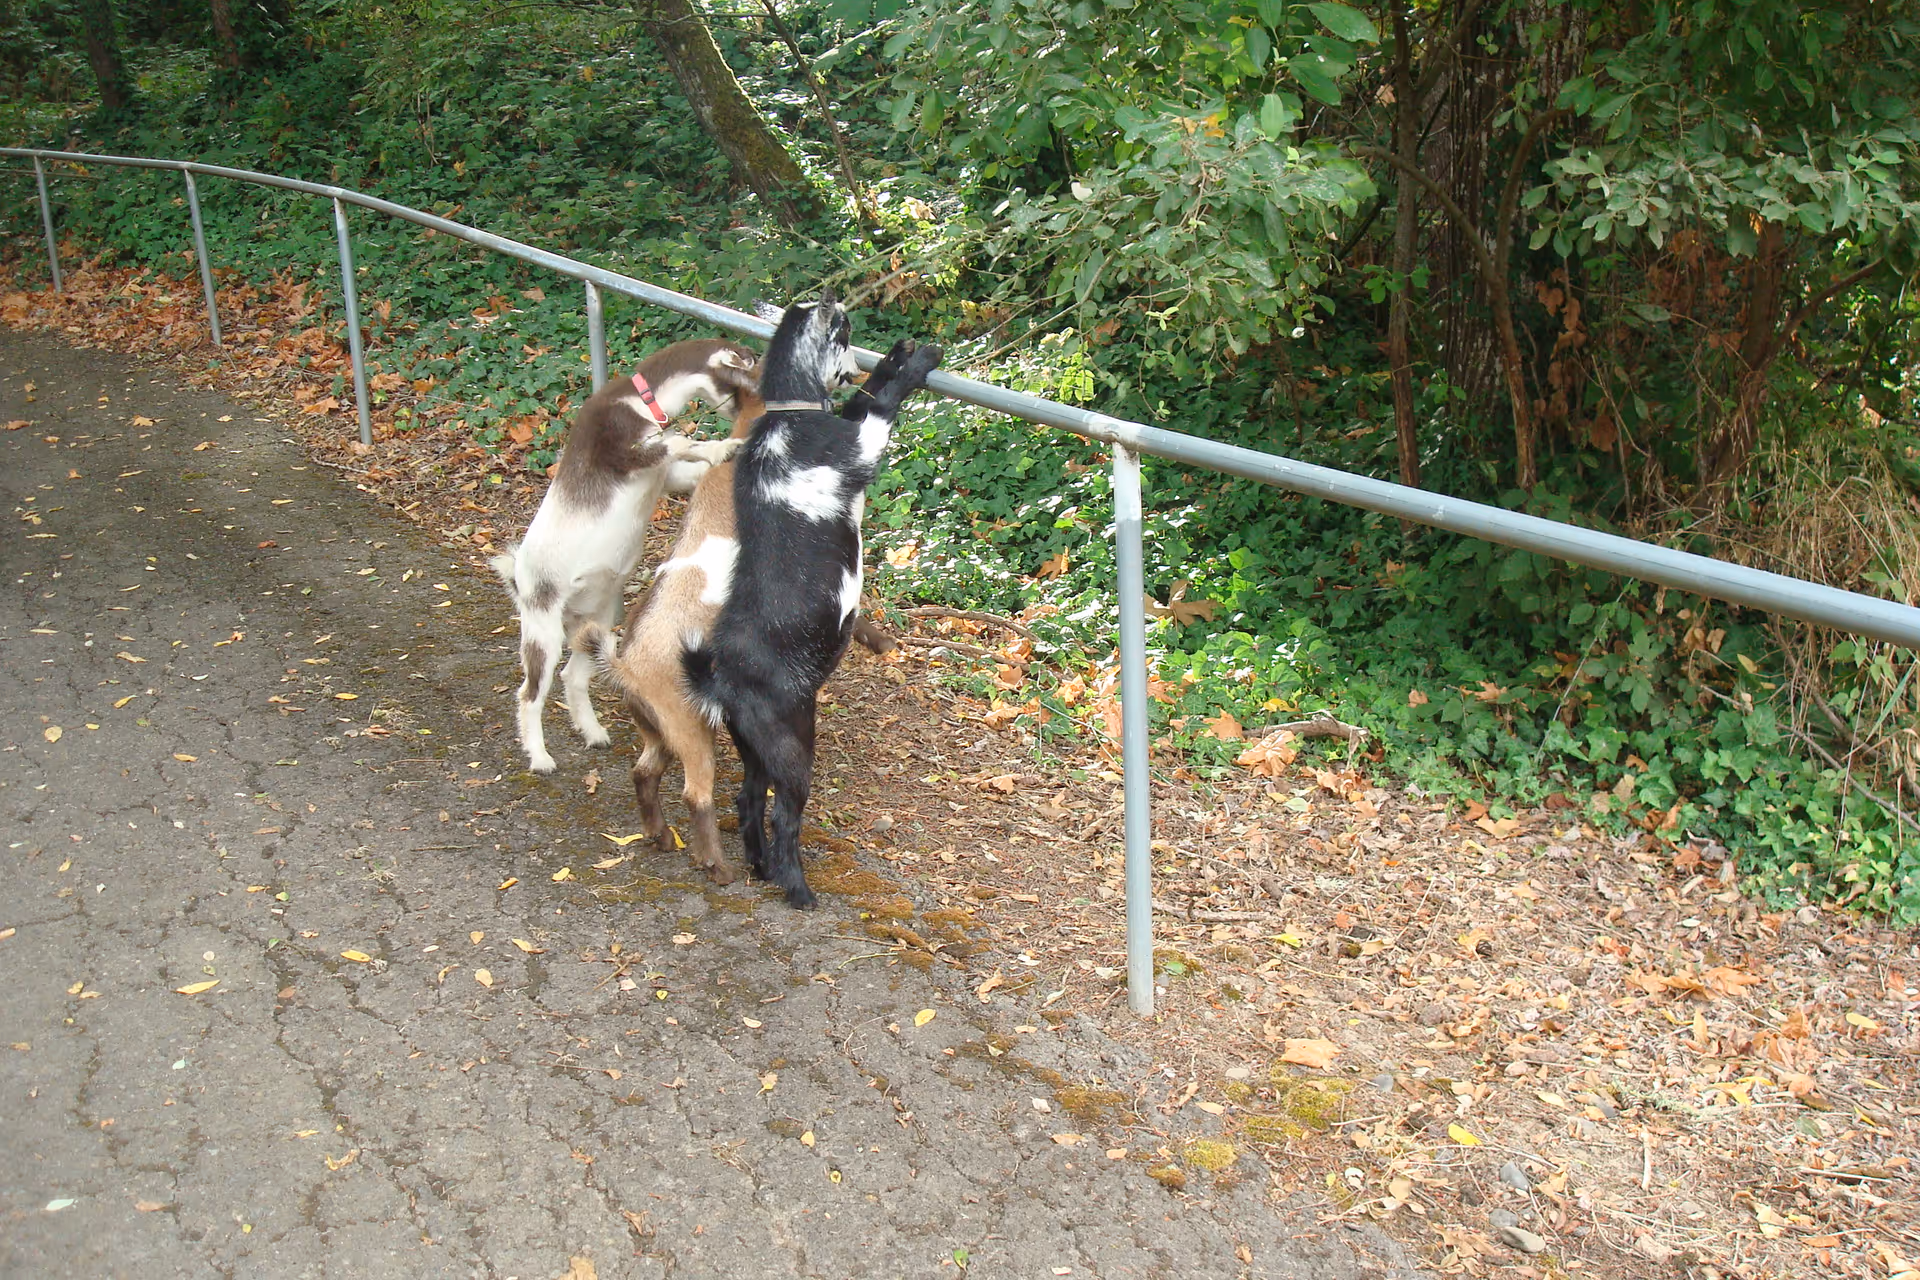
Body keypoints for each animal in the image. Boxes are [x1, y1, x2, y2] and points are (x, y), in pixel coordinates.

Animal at [490, 338, 755, 774]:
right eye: (737, 382)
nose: (740, 411)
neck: (642, 400)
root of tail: (519, 581)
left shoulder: (665, 477)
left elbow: (683, 462)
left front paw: (724, 451)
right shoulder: (624, 451)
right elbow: (677, 440)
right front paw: (723, 445)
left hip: (597, 620)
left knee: (573, 676)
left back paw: (592, 732)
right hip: (542, 629)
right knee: (530, 693)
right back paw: (540, 757)